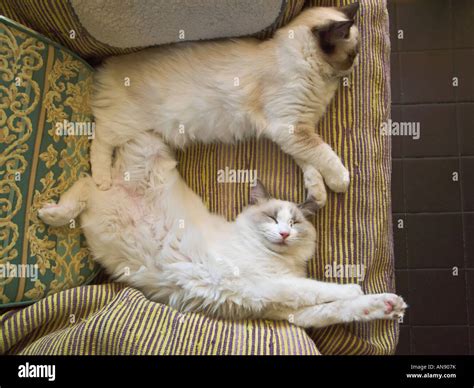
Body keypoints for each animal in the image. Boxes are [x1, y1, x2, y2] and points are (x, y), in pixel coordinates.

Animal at [39, 133, 406, 328]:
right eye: (272, 219)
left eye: (294, 224)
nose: (285, 234)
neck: (282, 261)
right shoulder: (270, 284)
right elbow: (324, 289)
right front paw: (356, 289)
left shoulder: (288, 311)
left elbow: (336, 309)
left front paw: (387, 306)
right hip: (137, 164)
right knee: (89, 177)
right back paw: (50, 214)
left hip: (100, 206)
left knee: (87, 183)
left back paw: (52, 212)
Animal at [90, 3, 362, 209]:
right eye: (352, 55)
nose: (355, 65)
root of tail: (109, 63)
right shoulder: (293, 127)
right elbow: (325, 154)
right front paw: (341, 180)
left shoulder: (294, 132)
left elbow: (310, 163)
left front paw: (319, 193)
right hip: (126, 123)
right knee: (100, 139)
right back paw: (101, 180)